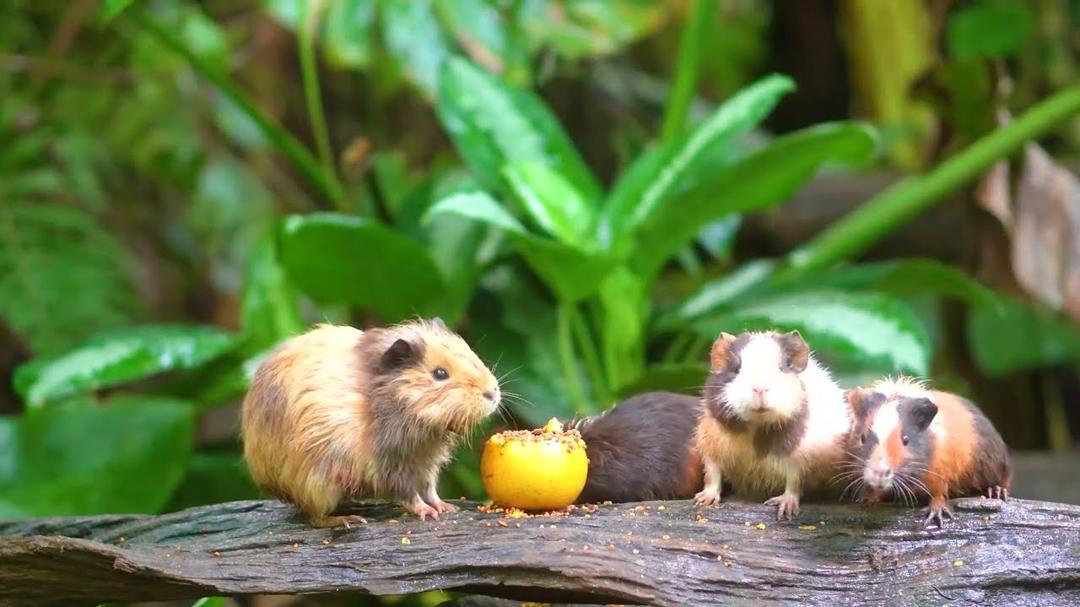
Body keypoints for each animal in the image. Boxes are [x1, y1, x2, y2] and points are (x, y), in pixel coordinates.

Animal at [241, 318, 501, 527]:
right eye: (439, 373)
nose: (492, 393)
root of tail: (269, 480)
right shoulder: (388, 464)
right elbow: (408, 493)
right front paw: (428, 513)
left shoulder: (426, 462)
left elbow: (429, 488)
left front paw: (446, 507)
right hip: (318, 485)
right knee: (315, 517)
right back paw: (348, 520)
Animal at [693, 330, 851, 519]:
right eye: (736, 369)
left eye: (782, 368)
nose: (760, 389)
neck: (757, 424)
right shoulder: (710, 444)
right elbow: (712, 475)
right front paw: (702, 501)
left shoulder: (800, 458)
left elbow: (794, 483)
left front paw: (785, 511)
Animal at [844, 377, 1012, 527]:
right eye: (862, 437)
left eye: (905, 440)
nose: (879, 473)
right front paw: (867, 500)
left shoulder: (941, 474)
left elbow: (938, 495)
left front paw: (934, 517)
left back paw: (995, 492)